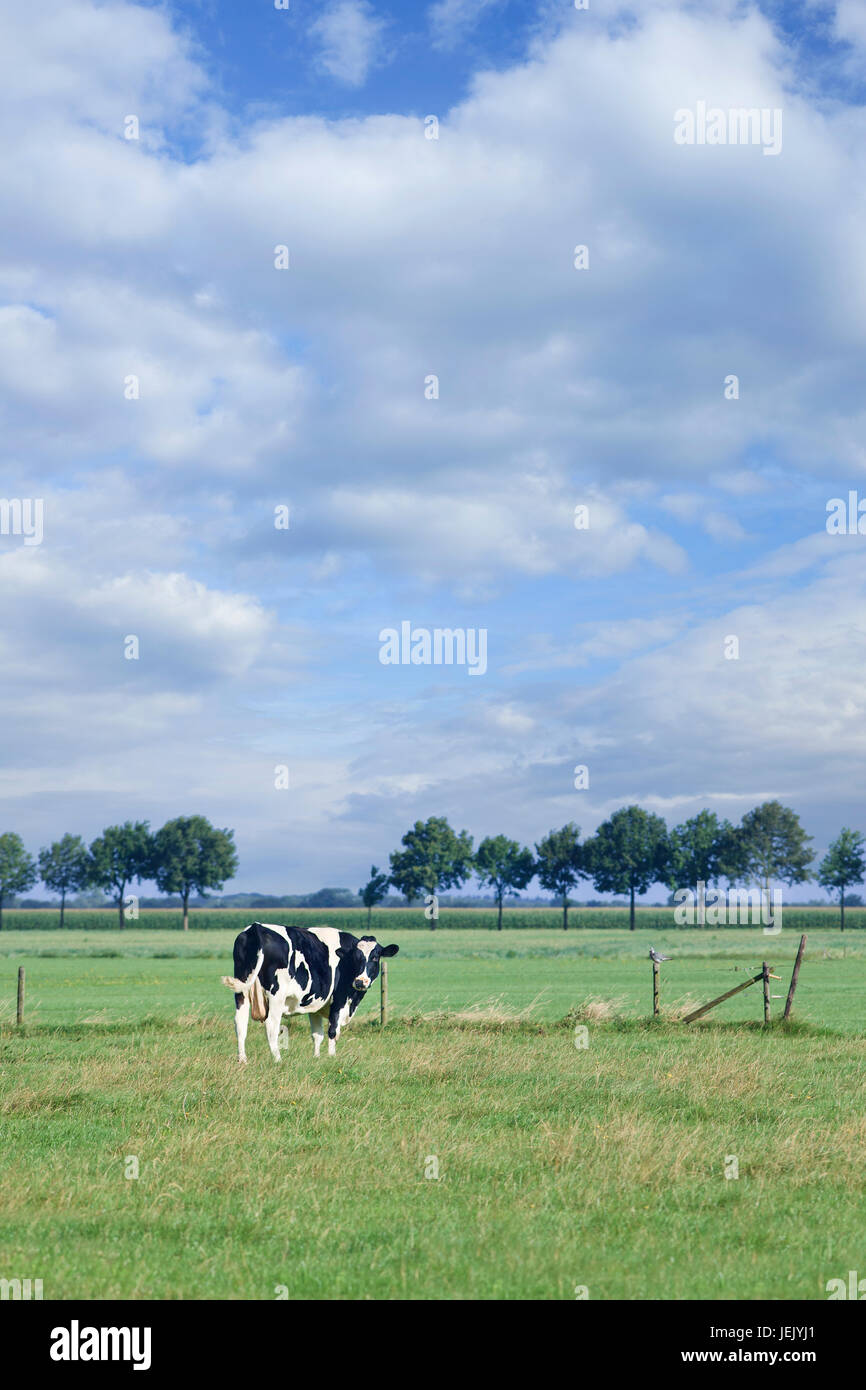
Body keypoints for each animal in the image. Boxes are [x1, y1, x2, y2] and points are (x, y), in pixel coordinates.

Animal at [222, 922, 400, 1061]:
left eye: (375, 957)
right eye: (356, 957)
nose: (360, 981)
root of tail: (256, 928)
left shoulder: (315, 1005)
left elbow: (317, 1034)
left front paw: (317, 1058)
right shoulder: (339, 999)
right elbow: (333, 1031)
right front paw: (332, 1058)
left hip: (242, 991)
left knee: (240, 1023)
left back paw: (243, 1060)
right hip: (276, 995)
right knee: (272, 1025)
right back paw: (278, 1059)